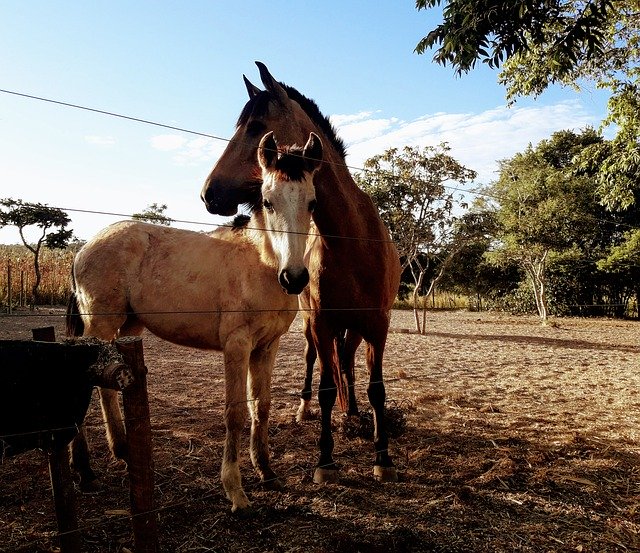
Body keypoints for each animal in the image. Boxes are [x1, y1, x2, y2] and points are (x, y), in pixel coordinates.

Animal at [67, 132, 322, 512]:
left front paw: (267, 472)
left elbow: (261, 407)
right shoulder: (237, 345)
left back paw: (114, 456)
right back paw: (88, 469)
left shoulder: (267, 346)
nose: (294, 278)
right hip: (100, 325)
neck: (260, 263)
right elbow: (235, 413)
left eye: (312, 203)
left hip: (129, 328)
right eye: (268, 201)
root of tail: (83, 248)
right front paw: (235, 491)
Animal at [200, 61, 400, 484]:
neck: (353, 240)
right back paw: (306, 409)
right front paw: (325, 460)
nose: (209, 193)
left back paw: (352, 410)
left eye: (256, 126)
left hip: (353, 328)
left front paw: (383, 457)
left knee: (347, 363)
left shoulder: (378, 325)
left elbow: (376, 389)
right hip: (312, 325)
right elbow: (325, 386)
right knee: (315, 362)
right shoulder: (322, 323)